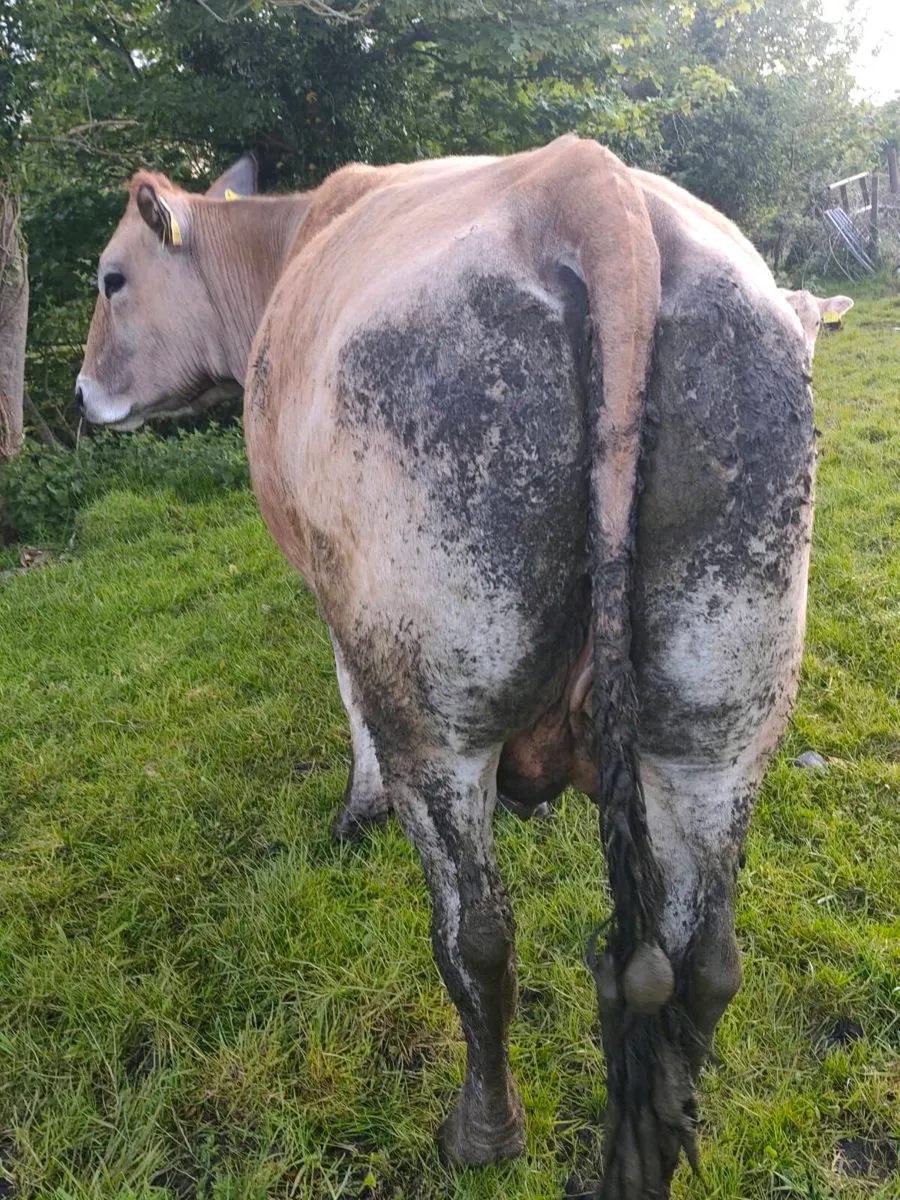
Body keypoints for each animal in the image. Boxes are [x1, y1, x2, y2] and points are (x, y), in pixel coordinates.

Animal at [78, 137, 818, 1198]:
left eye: (111, 278)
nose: (81, 394)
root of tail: (585, 184)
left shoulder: (338, 595)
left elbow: (348, 702)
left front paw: (357, 809)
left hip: (438, 712)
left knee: (480, 938)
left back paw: (482, 1134)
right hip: (724, 716)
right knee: (708, 958)